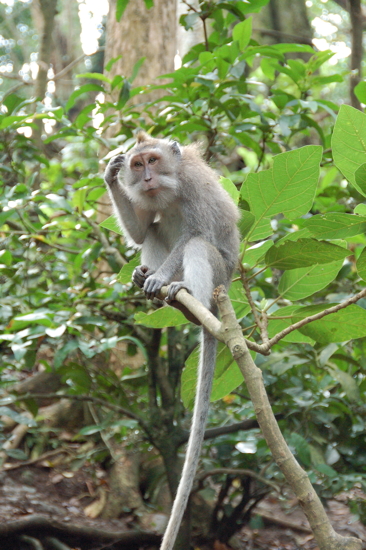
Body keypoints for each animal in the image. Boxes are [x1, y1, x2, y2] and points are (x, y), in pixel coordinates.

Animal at [103, 132, 240, 548]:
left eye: (153, 160)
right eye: (137, 164)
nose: (146, 177)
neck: (171, 185)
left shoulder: (194, 187)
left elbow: (196, 235)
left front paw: (161, 278)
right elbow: (139, 231)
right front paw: (110, 175)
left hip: (220, 275)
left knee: (197, 246)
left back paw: (184, 296)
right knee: (154, 230)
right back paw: (154, 284)